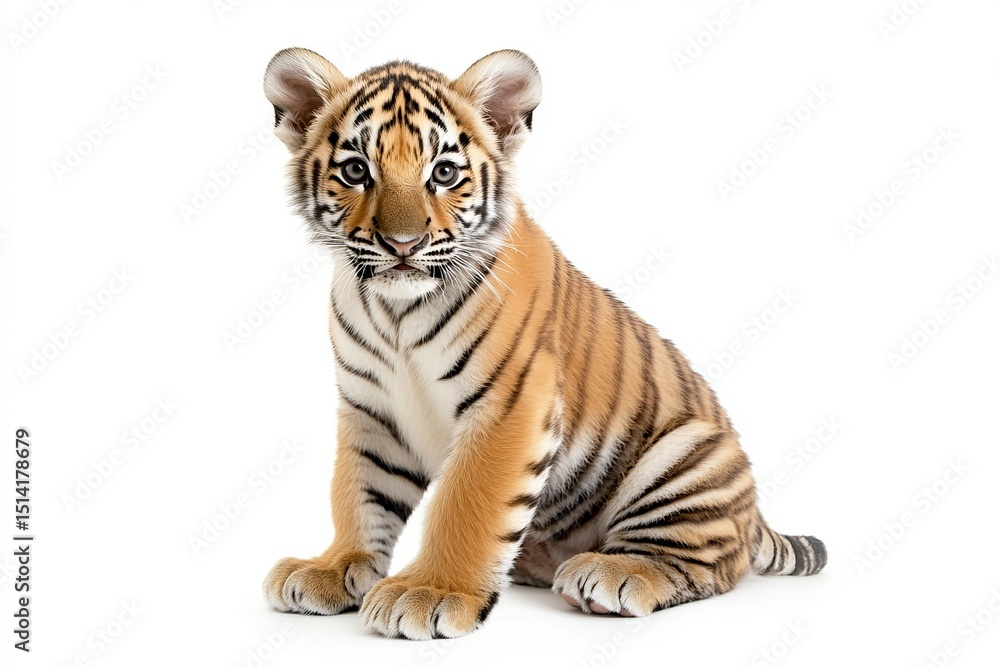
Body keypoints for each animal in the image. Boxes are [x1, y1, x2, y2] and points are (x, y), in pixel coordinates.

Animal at [260, 47, 827, 640]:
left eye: (444, 173)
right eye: (356, 171)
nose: (403, 244)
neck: (397, 311)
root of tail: (754, 514)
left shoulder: (510, 403)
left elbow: (467, 504)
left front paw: (430, 592)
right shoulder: (372, 409)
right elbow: (357, 493)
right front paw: (332, 568)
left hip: (688, 456)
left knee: (708, 563)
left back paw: (612, 574)